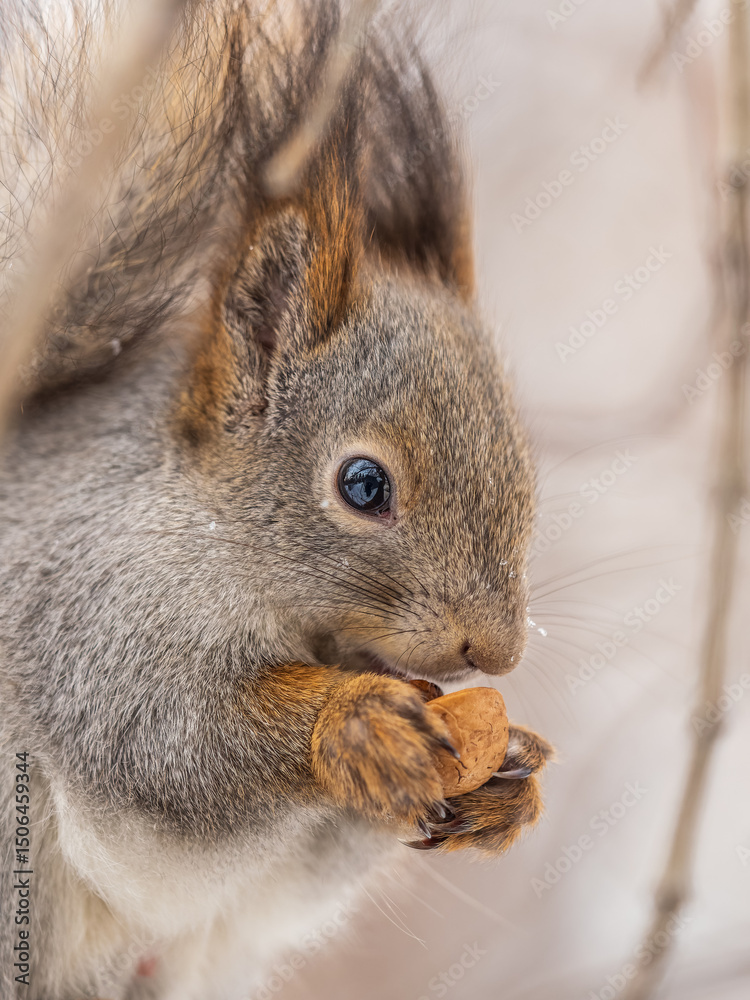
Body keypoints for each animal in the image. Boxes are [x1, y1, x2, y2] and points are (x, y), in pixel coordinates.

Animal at [0, 1, 553, 997]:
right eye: (364, 485)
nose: (494, 651)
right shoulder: (89, 612)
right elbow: (170, 734)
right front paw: (353, 722)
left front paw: (514, 775)